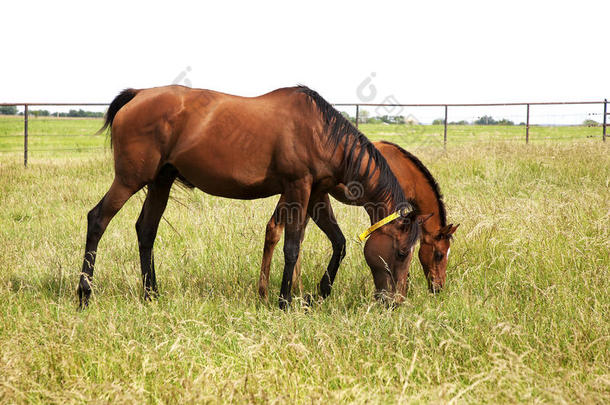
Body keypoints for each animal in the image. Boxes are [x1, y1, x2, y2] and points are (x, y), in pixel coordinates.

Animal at [78, 83, 426, 308]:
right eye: (401, 253)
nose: (395, 303)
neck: (321, 132)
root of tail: (138, 95)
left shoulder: (316, 194)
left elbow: (338, 243)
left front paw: (318, 293)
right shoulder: (298, 187)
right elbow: (292, 246)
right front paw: (285, 301)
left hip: (160, 181)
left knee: (146, 230)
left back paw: (152, 294)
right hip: (129, 180)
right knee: (98, 220)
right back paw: (84, 293)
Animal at [256, 140, 456, 302]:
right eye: (439, 254)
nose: (438, 288)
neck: (404, 169)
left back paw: (296, 289)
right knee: (274, 229)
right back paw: (266, 294)